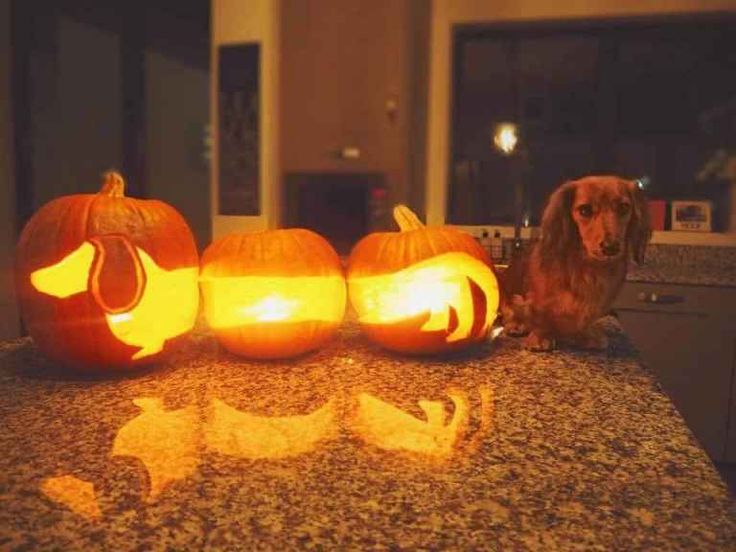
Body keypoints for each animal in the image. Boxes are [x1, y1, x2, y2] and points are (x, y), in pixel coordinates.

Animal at [500, 175, 648, 352]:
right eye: (585, 210)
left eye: (624, 207)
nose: (610, 247)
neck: (588, 267)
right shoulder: (538, 301)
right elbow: (541, 317)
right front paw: (540, 338)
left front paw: (586, 335)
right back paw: (517, 325)